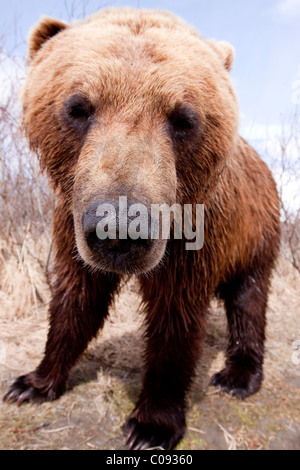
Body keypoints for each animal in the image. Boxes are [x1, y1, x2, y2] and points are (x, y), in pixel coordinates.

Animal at [3, 5, 282, 450]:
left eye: (184, 117)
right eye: (78, 107)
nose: (119, 227)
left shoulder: (192, 240)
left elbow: (175, 318)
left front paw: (151, 426)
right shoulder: (70, 224)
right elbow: (75, 298)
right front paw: (32, 383)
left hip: (255, 231)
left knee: (249, 297)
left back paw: (237, 376)